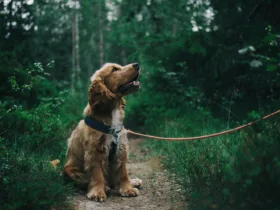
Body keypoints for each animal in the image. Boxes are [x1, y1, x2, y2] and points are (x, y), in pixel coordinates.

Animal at [64, 62, 141, 202]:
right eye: (114, 69)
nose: (137, 64)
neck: (112, 110)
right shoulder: (95, 150)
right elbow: (97, 173)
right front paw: (98, 192)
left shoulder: (121, 147)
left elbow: (123, 171)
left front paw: (128, 188)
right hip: (70, 171)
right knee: (84, 180)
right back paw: (105, 187)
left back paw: (133, 181)